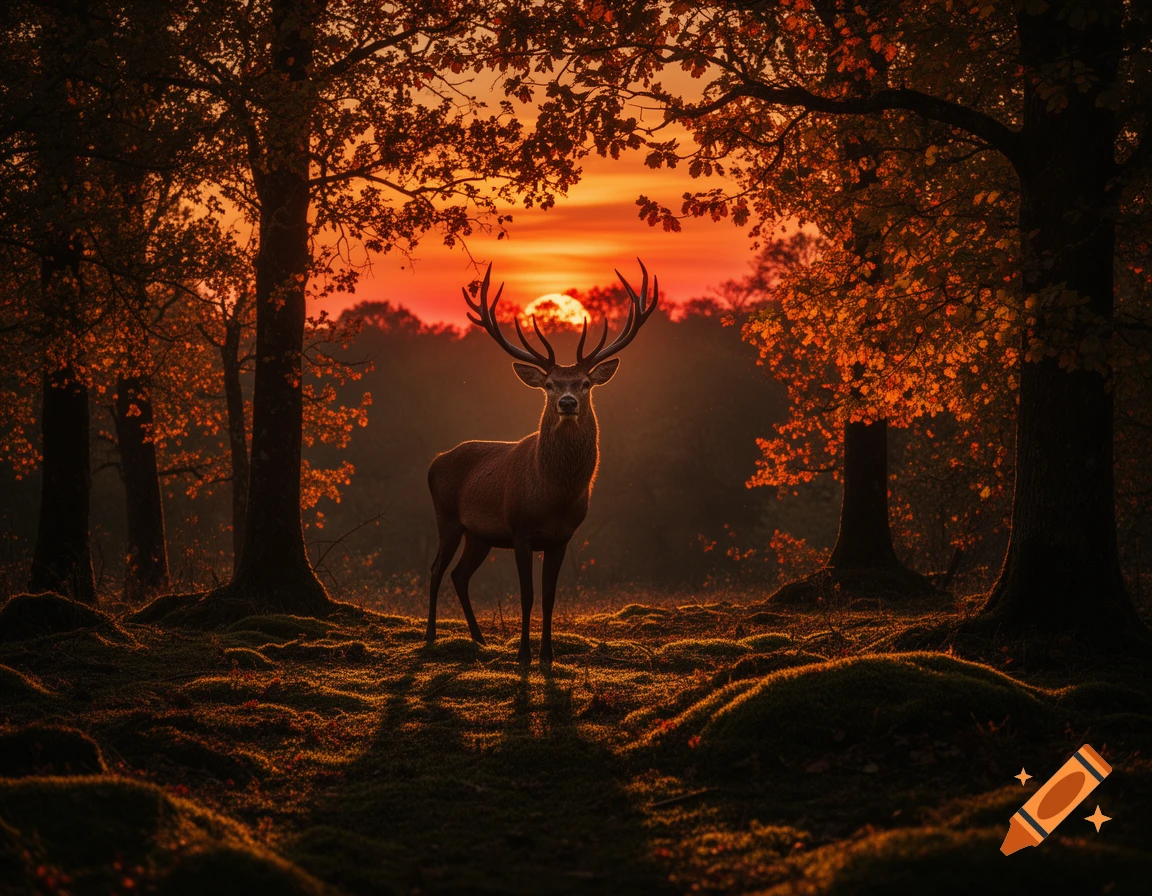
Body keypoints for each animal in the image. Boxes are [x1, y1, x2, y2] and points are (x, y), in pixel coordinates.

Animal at [426, 261, 659, 666]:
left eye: (584, 383)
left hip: (479, 534)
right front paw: (523, 655)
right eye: (550, 384)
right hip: (448, 518)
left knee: (459, 575)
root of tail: (433, 463)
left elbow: (550, 596)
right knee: (437, 570)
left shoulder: (561, 537)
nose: (567, 402)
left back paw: (479, 639)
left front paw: (548, 655)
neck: (554, 497)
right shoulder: (520, 530)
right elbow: (527, 595)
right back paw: (429, 637)